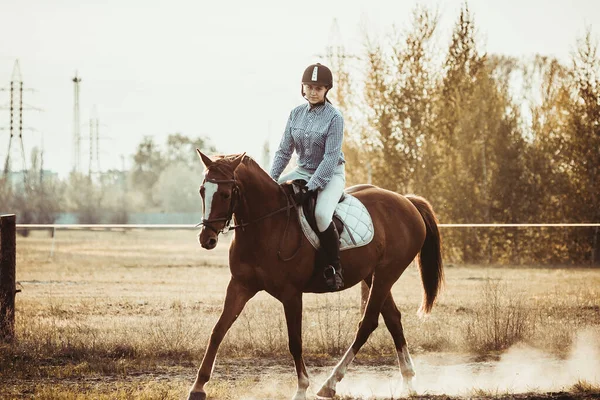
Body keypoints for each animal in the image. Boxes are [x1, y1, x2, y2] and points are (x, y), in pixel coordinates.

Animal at [189, 151, 446, 400]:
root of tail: (407, 201)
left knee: (368, 323)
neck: (266, 225)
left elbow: (295, 341)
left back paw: (330, 384)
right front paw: (198, 387)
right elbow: (218, 331)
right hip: (372, 276)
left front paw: (302, 389)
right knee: (393, 318)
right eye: (202, 191)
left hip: (386, 274)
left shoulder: (291, 294)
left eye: (224, 194)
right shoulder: (240, 286)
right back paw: (408, 380)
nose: (207, 239)